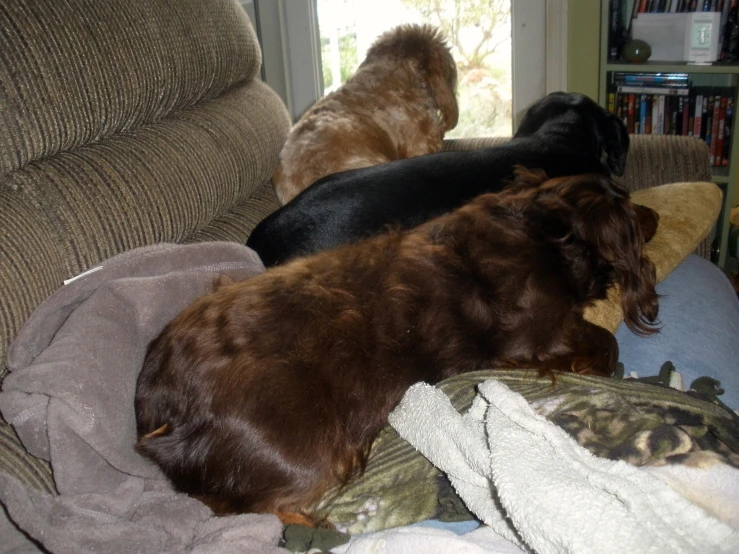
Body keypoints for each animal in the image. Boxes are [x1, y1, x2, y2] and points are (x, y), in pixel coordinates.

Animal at [136, 168, 660, 528]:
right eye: (628, 201)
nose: (655, 212)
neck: (544, 229)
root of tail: (161, 411)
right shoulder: (537, 334)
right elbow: (607, 344)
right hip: (304, 449)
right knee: (259, 507)